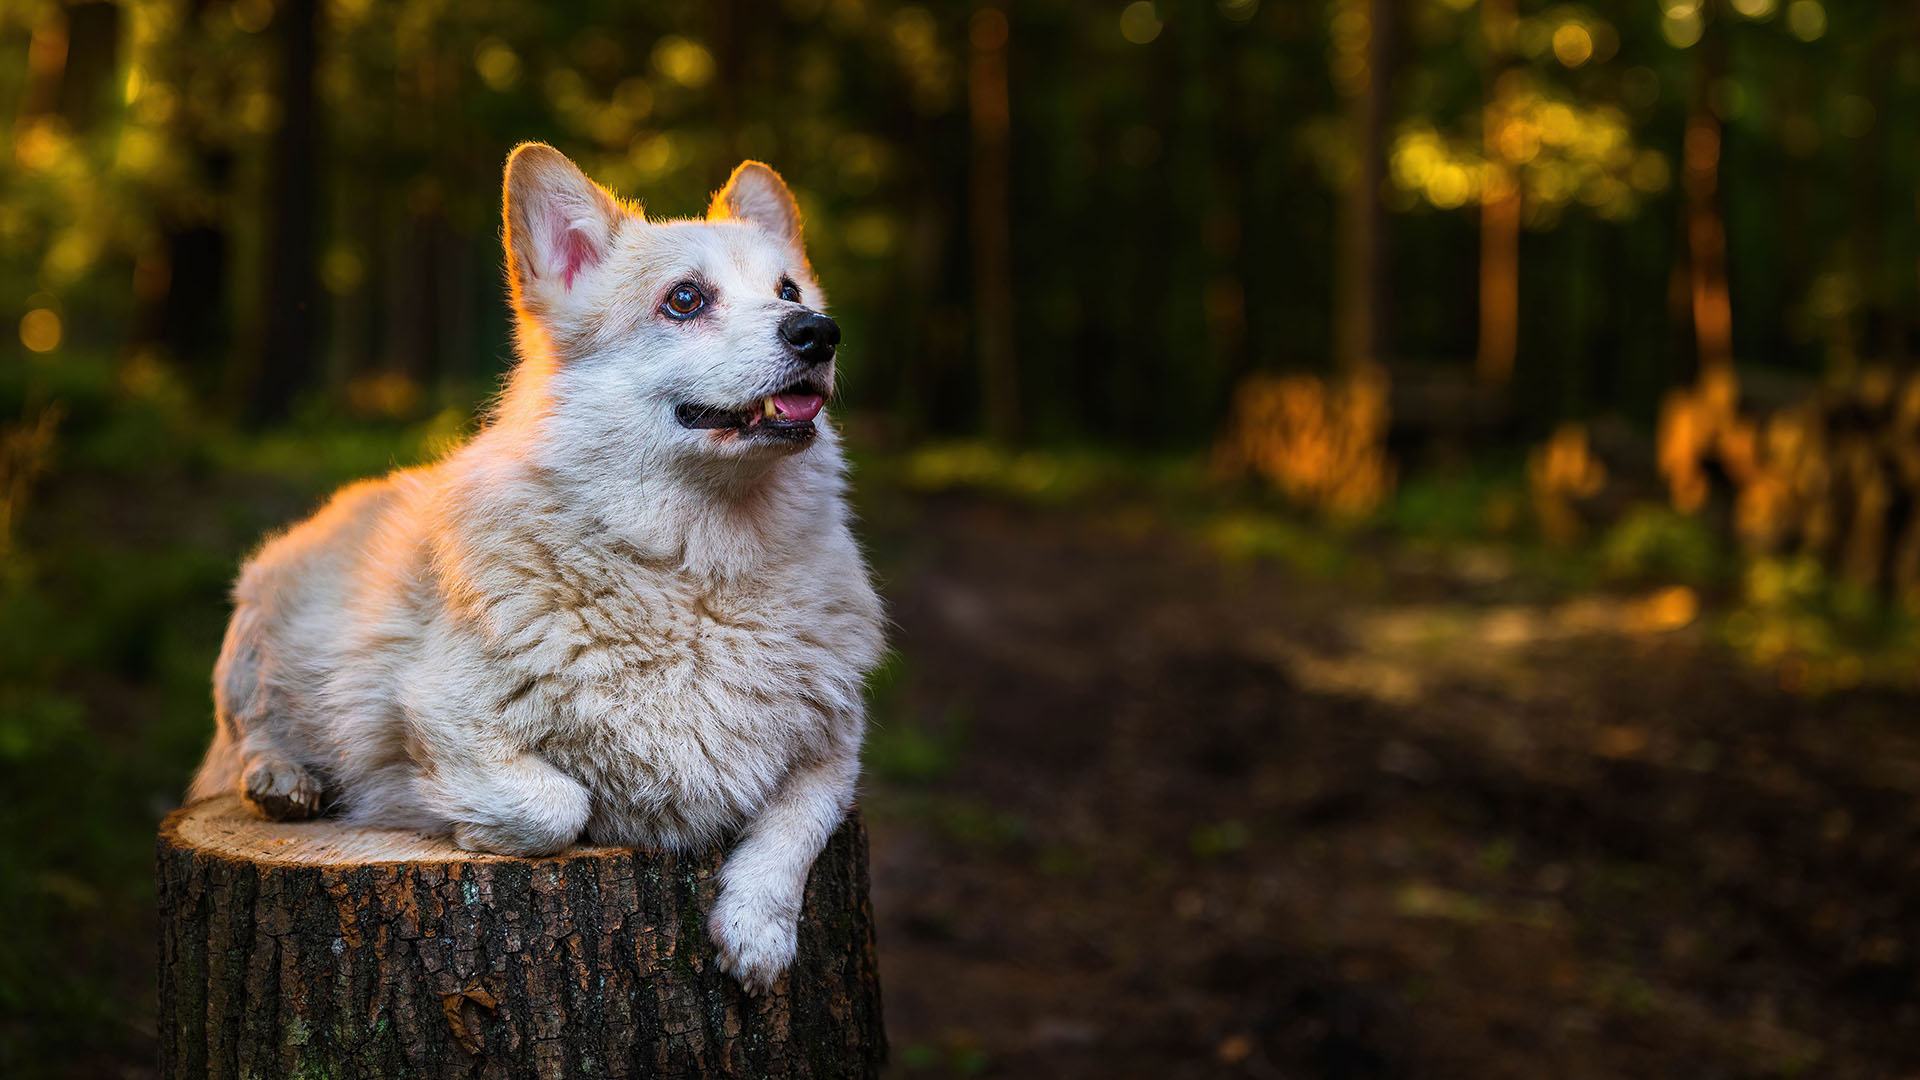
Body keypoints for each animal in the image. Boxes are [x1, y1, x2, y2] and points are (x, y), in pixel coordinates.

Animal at [183, 145, 887, 991]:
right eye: (684, 300)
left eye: (789, 292)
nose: (820, 332)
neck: (699, 559)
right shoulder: (438, 710)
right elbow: (556, 807)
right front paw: (457, 823)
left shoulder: (837, 751)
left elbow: (793, 828)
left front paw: (758, 934)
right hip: (256, 631)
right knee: (247, 730)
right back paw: (282, 779)